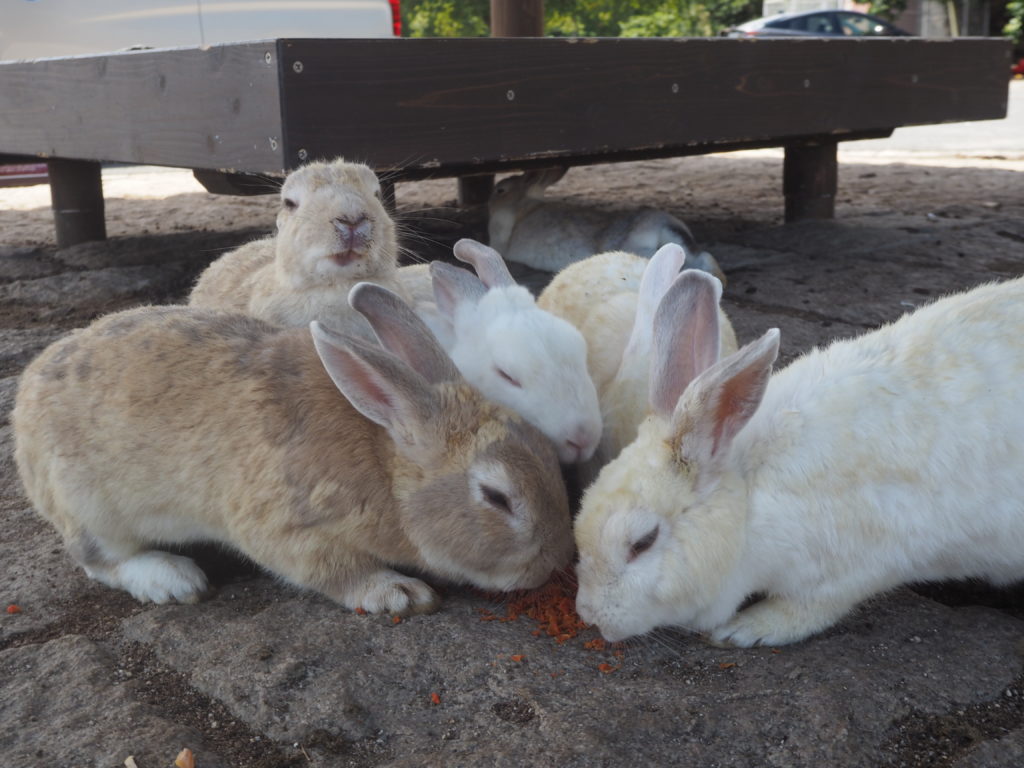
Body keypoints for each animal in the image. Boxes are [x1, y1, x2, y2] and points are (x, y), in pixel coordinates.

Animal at [14, 286, 577, 618]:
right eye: (496, 497)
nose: (555, 560)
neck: (388, 468)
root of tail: (23, 405)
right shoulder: (288, 529)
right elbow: (334, 571)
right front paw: (399, 593)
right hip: (92, 509)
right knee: (100, 560)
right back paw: (173, 579)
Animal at [483, 165, 724, 282]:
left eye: (500, 190)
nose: (488, 202)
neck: (522, 207)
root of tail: (661, 225)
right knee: (703, 260)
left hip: (637, 250)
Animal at [577, 274, 1024, 647]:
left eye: (642, 542)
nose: (588, 615)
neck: (749, 501)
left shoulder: (852, 571)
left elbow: (806, 612)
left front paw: (744, 630)